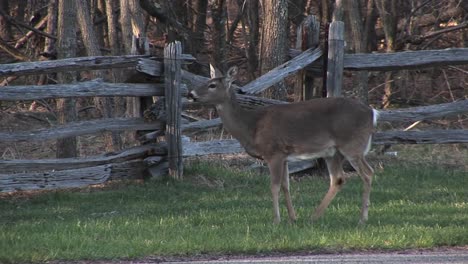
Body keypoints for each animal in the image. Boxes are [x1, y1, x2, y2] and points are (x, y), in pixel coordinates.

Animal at [188, 65, 378, 224]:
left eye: (212, 85)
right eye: (205, 81)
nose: (190, 94)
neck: (251, 126)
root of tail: (372, 112)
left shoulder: (274, 153)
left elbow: (274, 186)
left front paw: (276, 220)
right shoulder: (285, 156)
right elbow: (286, 185)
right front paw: (293, 218)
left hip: (352, 145)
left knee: (368, 173)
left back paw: (362, 219)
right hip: (332, 152)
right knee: (338, 179)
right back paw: (314, 217)